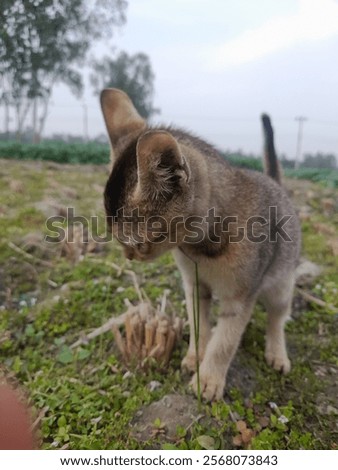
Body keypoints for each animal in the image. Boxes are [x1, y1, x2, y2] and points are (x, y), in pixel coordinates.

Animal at [101, 90, 302, 402]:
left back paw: (277, 354)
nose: (129, 257)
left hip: (281, 286)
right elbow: (199, 326)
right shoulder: (194, 286)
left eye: (138, 244)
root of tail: (275, 183)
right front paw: (195, 357)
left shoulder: (240, 298)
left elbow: (224, 343)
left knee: (277, 318)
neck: (199, 248)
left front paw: (207, 379)